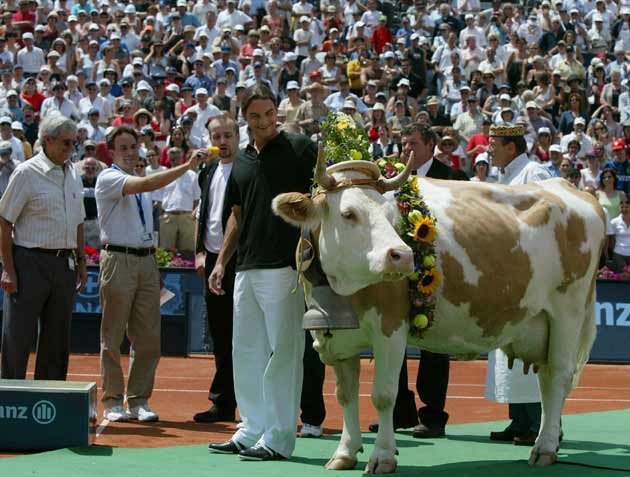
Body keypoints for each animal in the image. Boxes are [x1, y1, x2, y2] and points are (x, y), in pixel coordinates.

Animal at [272, 150, 608, 472]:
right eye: (348, 214)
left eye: (388, 213)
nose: (402, 255)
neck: (342, 289)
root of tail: (568, 188)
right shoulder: (336, 337)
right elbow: (345, 395)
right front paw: (345, 452)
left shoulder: (390, 327)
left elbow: (383, 394)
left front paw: (382, 456)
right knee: (546, 379)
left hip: (568, 312)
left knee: (558, 376)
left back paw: (545, 447)